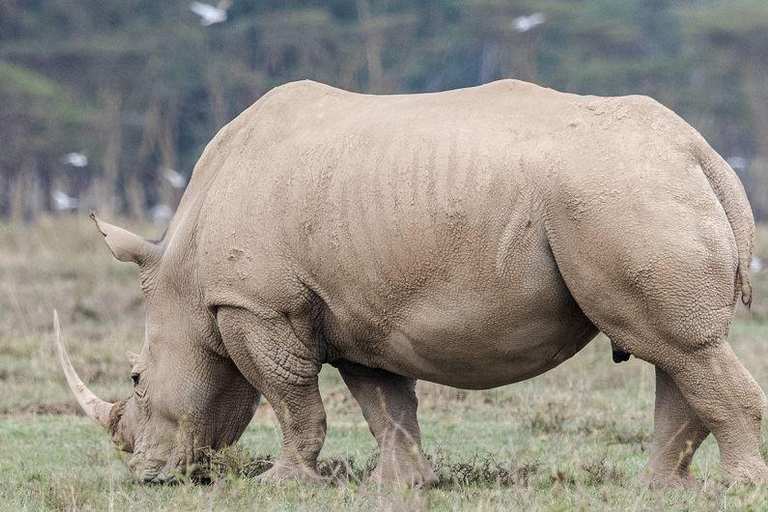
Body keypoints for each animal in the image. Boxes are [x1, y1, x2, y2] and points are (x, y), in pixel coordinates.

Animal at [55, 80, 760, 488]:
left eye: (136, 379)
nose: (144, 475)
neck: (183, 274)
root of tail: (701, 152)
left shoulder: (258, 305)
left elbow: (289, 397)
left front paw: (282, 483)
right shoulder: (357, 311)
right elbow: (384, 402)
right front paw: (401, 486)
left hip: (619, 190)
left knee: (678, 346)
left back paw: (737, 489)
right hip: (635, 186)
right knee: (672, 350)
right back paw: (661, 491)